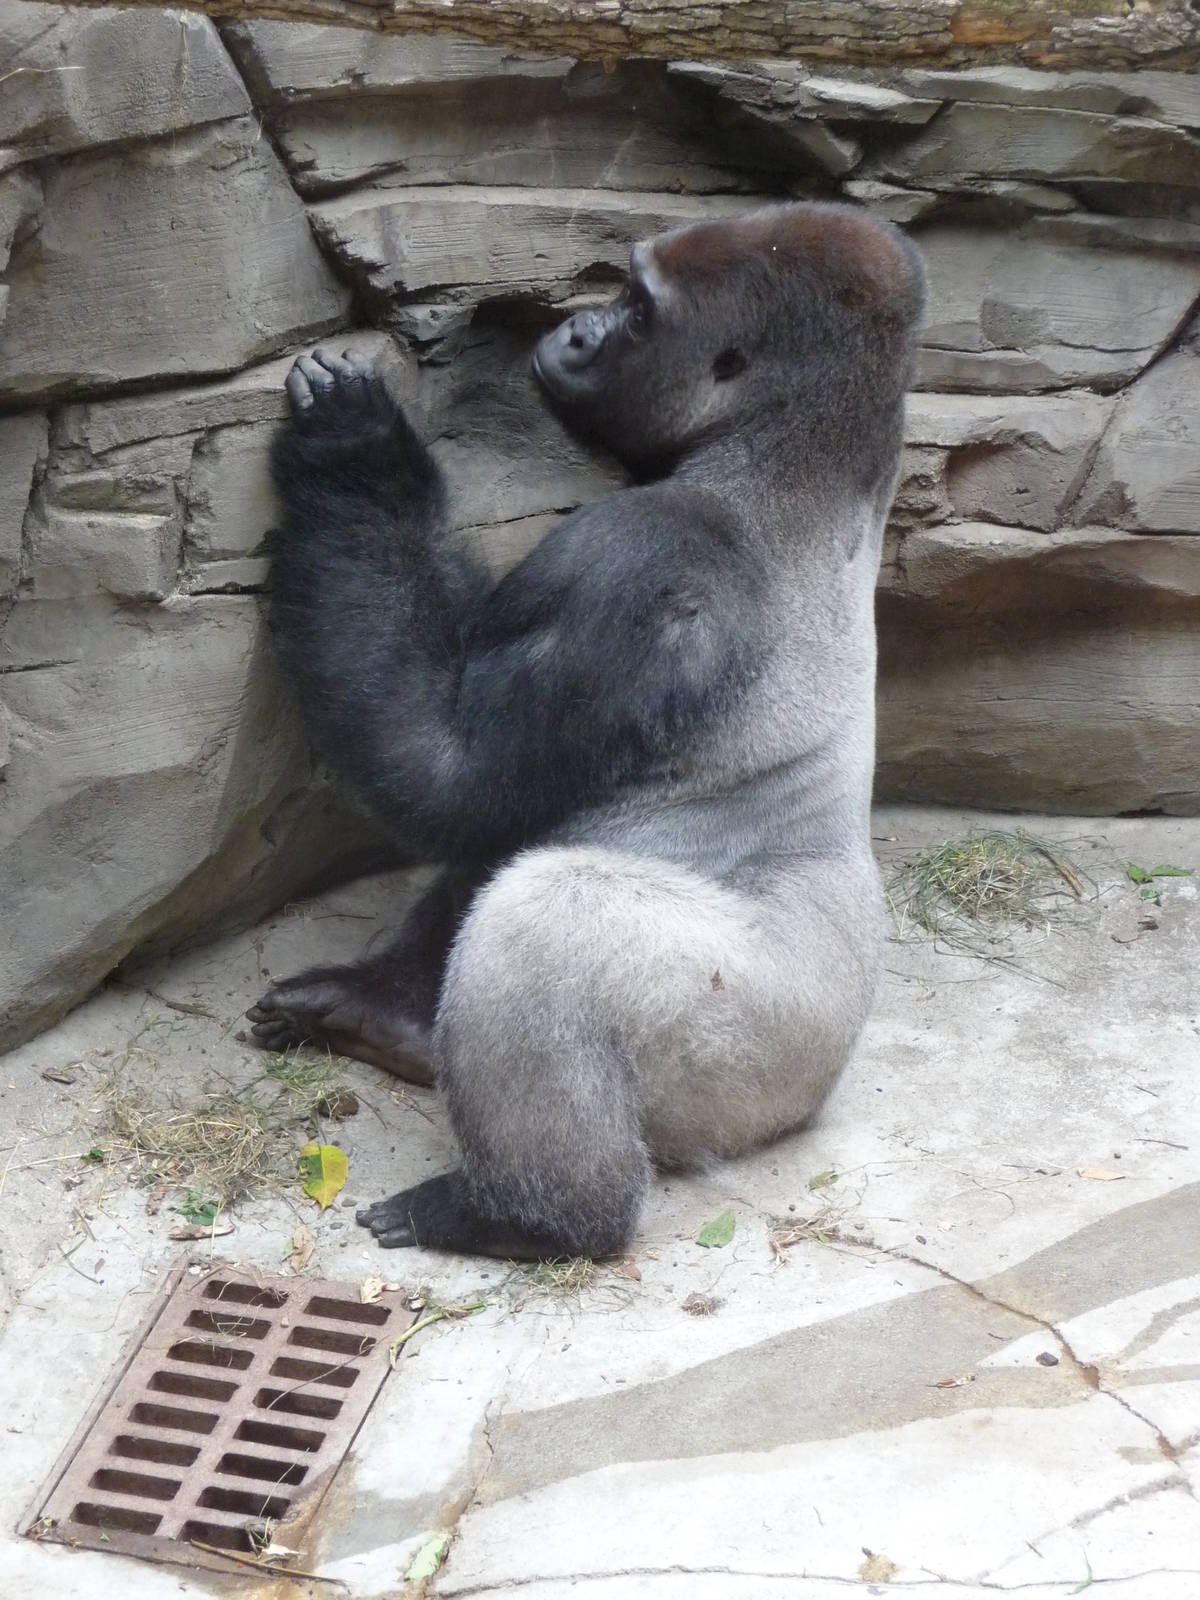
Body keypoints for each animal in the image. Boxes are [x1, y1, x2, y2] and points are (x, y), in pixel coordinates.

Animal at [247, 202, 926, 1259]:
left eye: (639, 308)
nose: (573, 333)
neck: (793, 466)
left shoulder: (635, 558)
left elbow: (445, 772)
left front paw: (358, 457)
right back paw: (387, 1023)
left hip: (760, 1047)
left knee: (545, 914)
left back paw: (528, 1215)